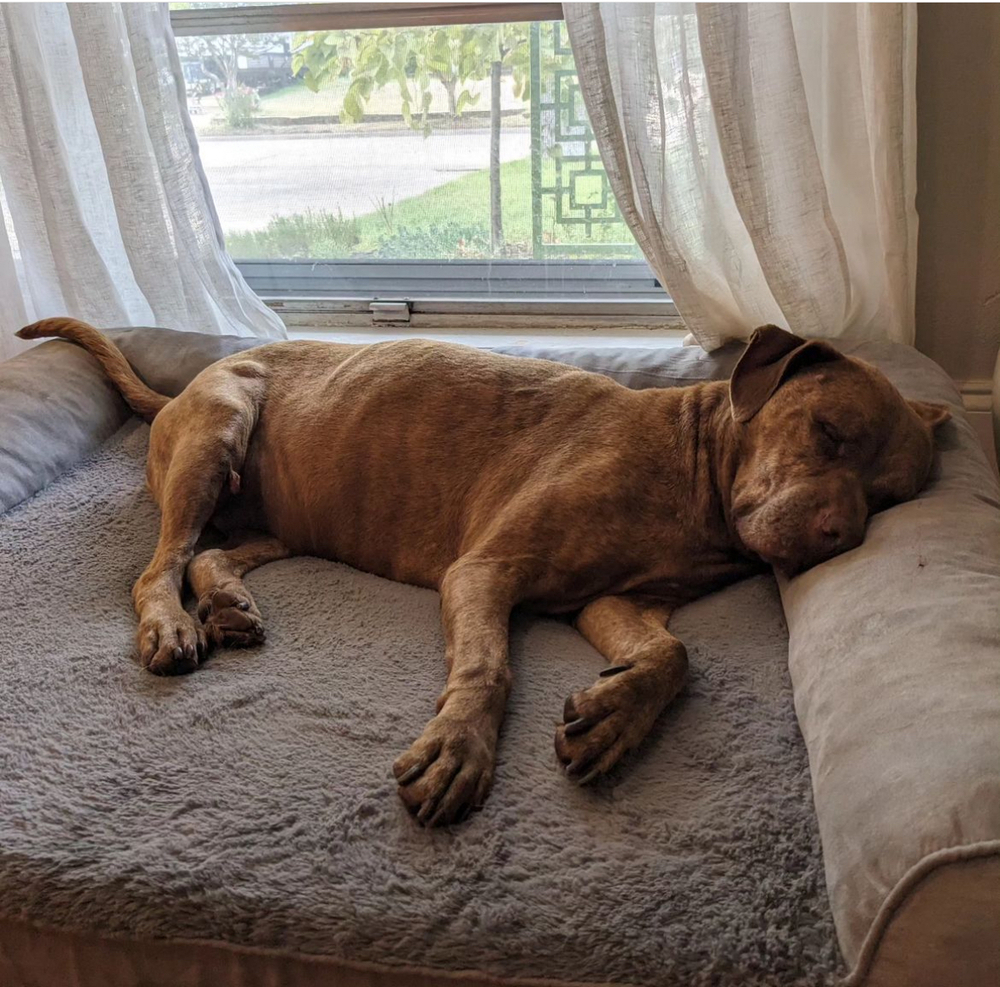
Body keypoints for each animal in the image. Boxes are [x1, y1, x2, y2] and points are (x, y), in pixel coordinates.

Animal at [19, 318, 948, 824]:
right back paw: (174, 622)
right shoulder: (486, 571)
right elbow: (489, 666)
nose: (838, 535)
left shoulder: (617, 602)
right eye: (828, 431)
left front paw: (612, 717)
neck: (694, 480)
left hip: (278, 527)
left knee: (210, 552)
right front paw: (459, 747)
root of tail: (172, 394)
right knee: (158, 566)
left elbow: (674, 657)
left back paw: (230, 603)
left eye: (889, 496)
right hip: (218, 430)